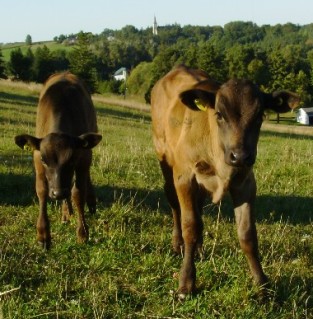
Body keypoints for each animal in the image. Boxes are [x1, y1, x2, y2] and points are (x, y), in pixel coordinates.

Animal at [14, 72, 101, 250]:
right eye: (43, 159)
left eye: (72, 158)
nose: (58, 193)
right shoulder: (37, 159)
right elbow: (41, 191)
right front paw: (43, 235)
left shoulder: (83, 158)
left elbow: (78, 193)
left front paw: (82, 233)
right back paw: (66, 213)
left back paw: (90, 202)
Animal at [150, 65, 298, 300]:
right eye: (219, 114)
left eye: (260, 116)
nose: (240, 156)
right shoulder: (185, 176)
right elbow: (190, 226)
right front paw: (186, 283)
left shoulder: (246, 182)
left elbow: (247, 234)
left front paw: (262, 284)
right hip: (164, 159)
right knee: (173, 202)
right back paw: (177, 244)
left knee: (199, 208)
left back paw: (200, 248)